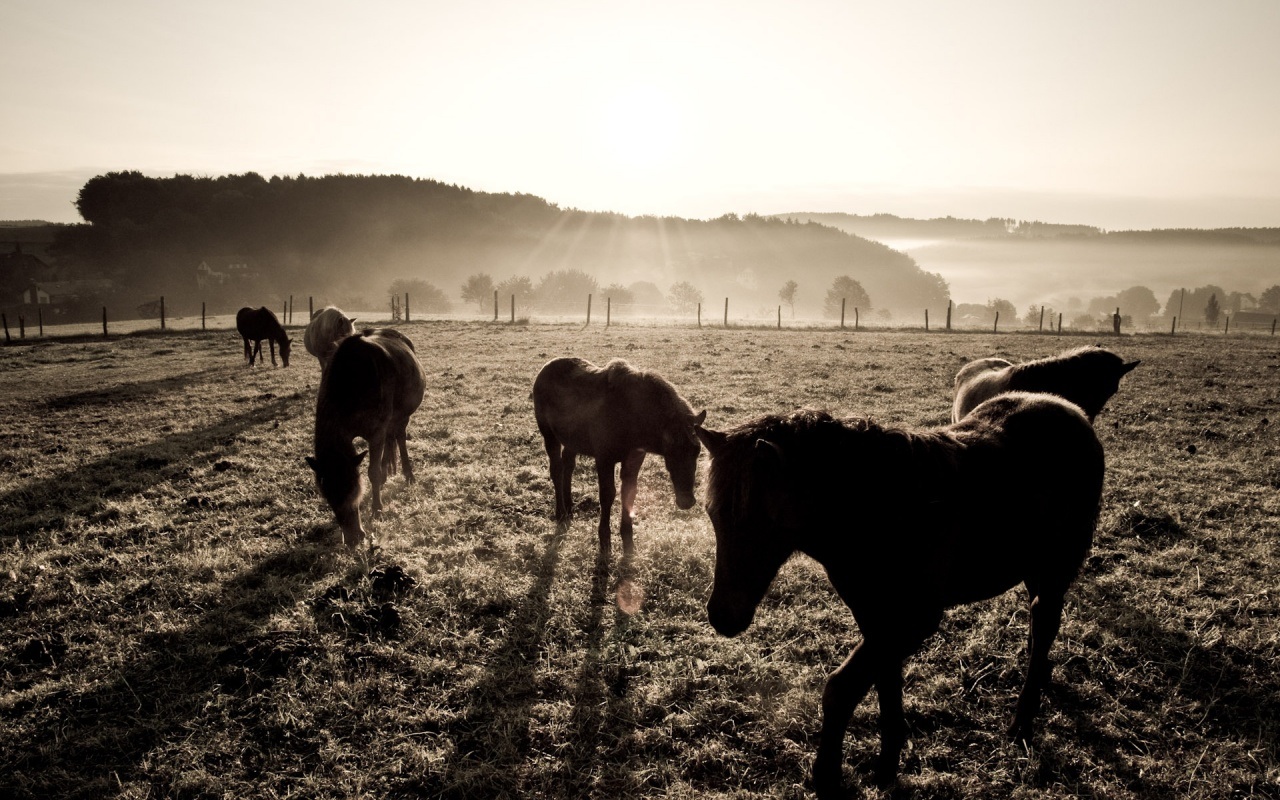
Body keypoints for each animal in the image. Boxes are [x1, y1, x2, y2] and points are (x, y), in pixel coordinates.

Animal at [304, 327, 424, 545]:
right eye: (327, 495)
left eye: (354, 489)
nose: (353, 538)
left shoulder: (375, 431)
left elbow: (372, 472)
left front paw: (377, 509)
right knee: (390, 439)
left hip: (403, 416)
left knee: (399, 437)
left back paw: (408, 475)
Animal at [532, 358, 711, 555]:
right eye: (670, 451)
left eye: (697, 450)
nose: (686, 501)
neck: (632, 419)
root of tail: (544, 370)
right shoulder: (604, 459)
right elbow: (607, 495)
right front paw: (604, 540)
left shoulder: (634, 458)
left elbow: (629, 492)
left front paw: (628, 539)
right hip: (549, 435)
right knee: (557, 469)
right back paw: (561, 512)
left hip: (571, 441)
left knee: (568, 466)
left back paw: (570, 506)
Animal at [696, 389, 1105, 793]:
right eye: (714, 515)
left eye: (761, 522)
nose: (722, 616)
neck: (887, 513)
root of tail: (1070, 411)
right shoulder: (875, 618)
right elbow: (885, 681)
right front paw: (887, 764)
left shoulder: (912, 622)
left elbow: (842, 688)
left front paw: (827, 774)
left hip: (1054, 568)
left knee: (1045, 621)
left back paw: (1022, 722)